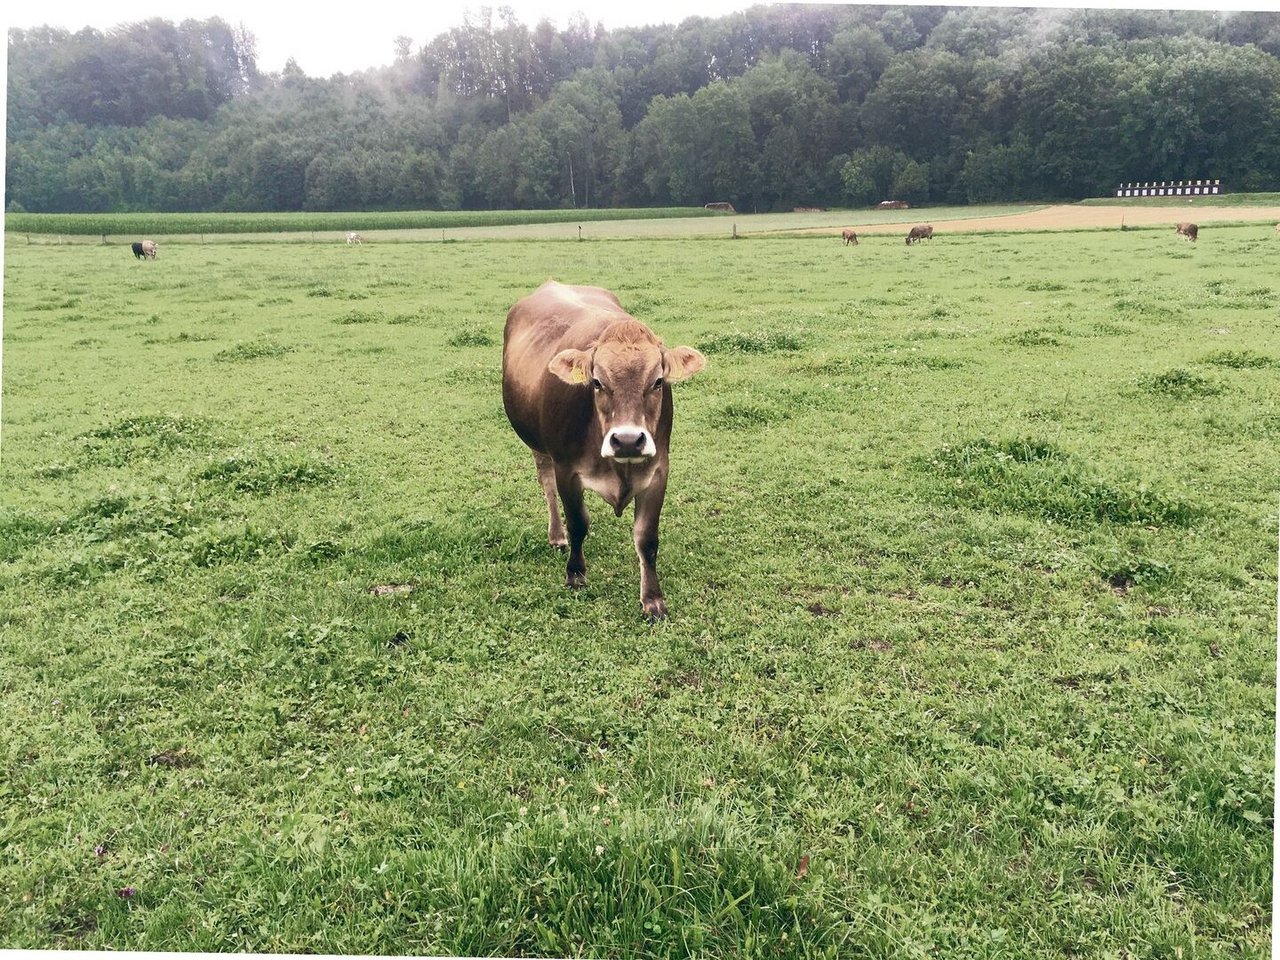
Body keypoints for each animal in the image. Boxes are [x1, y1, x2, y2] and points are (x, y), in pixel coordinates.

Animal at [499, 281, 706, 619]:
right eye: (596, 382)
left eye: (658, 381)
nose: (628, 440)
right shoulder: (566, 470)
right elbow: (578, 523)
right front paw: (575, 574)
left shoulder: (658, 471)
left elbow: (647, 538)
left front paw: (653, 599)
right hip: (537, 445)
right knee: (546, 485)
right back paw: (557, 535)